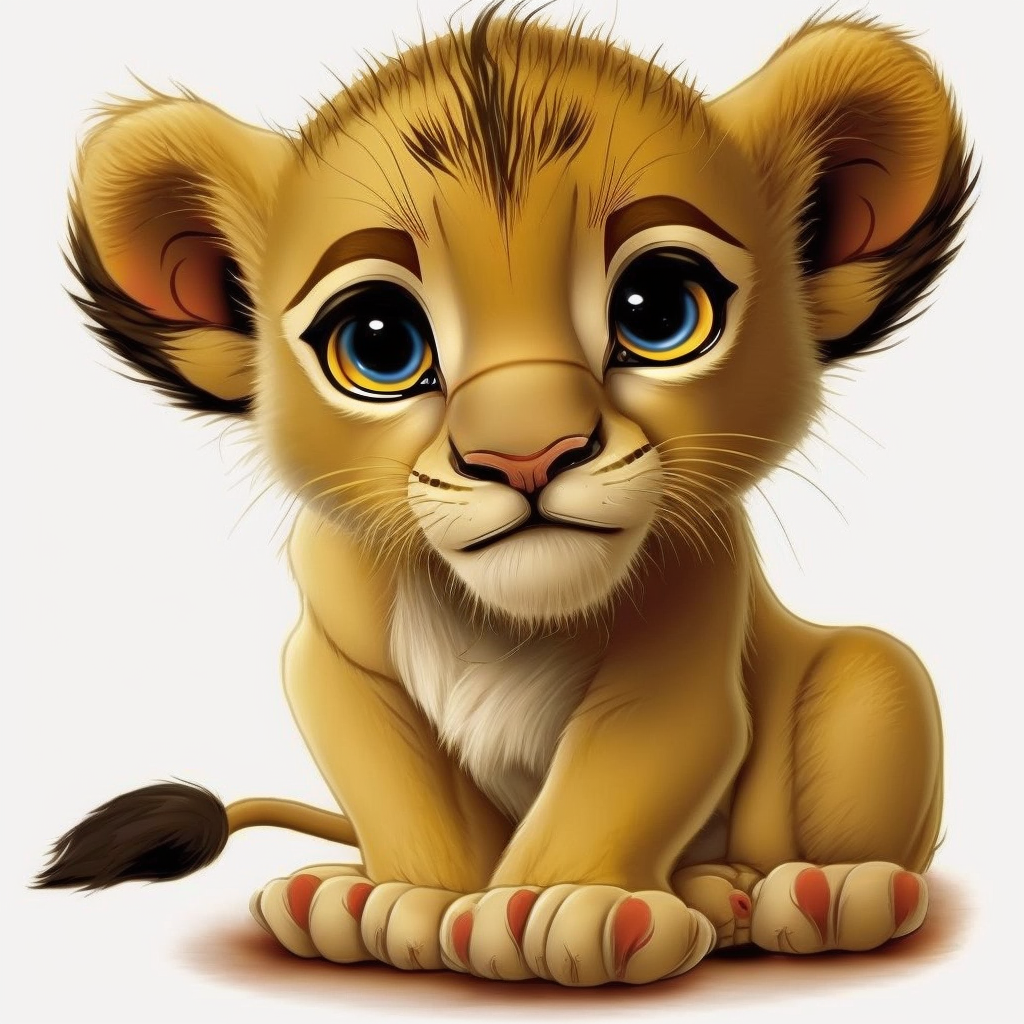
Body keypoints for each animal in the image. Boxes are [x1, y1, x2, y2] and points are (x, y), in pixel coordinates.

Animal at [37, 2, 973, 987]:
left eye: (659, 309)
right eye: (378, 341)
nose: (527, 455)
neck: (504, 622)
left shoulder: (681, 647)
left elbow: (622, 769)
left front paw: (558, 904)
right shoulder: (335, 658)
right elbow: (399, 782)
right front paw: (405, 898)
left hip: (874, 675)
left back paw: (809, 891)